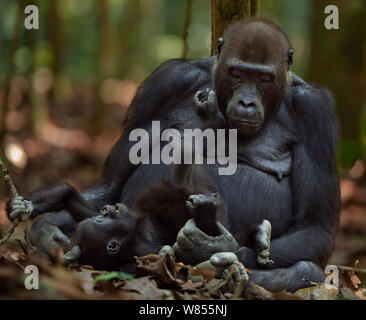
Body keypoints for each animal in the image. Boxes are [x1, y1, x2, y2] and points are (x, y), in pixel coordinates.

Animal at [10, 18, 340, 292]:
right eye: (237, 72)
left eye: (264, 79)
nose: (246, 103)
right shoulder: (165, 82)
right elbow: (110, 185)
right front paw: (46, 225)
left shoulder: (316, 112)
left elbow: (315, 228)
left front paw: (214, 246)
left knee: (306, 270)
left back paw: (233, 267)